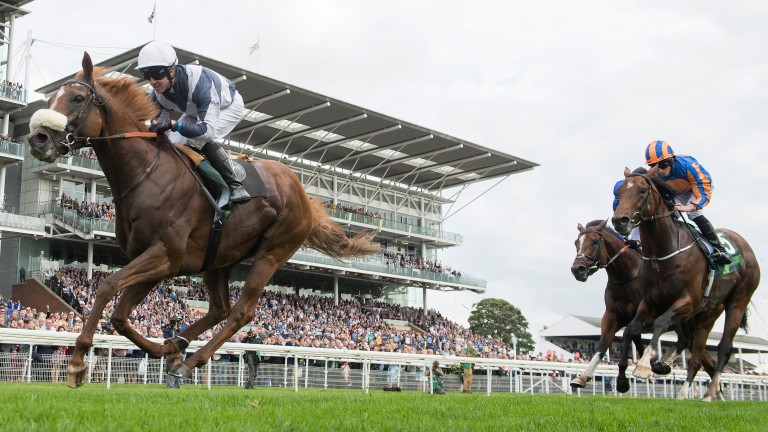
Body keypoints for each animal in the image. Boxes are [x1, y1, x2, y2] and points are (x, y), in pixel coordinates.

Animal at [27, 52, 380, 386]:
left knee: (241, 312)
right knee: (220, 308)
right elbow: (120, 317)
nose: (38, 139)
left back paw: (190, 361)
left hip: (271, 252)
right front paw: (162, 347)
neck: (146, 173)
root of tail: (304, 194)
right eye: (52, 99)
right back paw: (177, 346)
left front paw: (77, 362)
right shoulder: (153, 260)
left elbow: (107, 285)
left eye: (77, 98)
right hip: (219, 258)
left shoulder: (165, 255)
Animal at [568, 221, 716, 390]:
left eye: (594, 241)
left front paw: (629, 376)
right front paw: (582, 377)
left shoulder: (646, 316)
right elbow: (603, 345)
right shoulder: (612, 316)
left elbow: (631, 336)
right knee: (707, 360)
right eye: (576, 242)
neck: (626, 277)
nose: (577, 269)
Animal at [608, 167, 760, 400]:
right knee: (690, 343)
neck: (663, 253)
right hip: (705, 312)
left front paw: (644, 364)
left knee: (723, 348)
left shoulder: (687, 301)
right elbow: (630, 329)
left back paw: (708, 393)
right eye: (619, 191)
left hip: (737, 301)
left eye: (642, 190)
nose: (620, 220)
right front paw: (625, 379)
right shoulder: (650, 302)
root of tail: (744, 244)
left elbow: (661, 323)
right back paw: (670, 367)